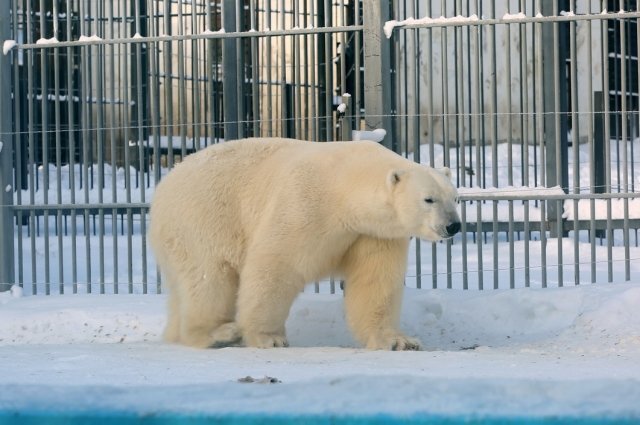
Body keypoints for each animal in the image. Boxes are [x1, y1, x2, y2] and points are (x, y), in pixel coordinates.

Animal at [150, 137, 460, 350]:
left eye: (454, 197)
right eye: (429, 199)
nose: (453, 225)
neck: (344, 185)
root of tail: (165, 184)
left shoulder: (373, 233)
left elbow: (375, 282)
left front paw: (398, 340)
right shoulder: (305, 205)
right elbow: (275, 265)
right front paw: (269, 338)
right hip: (202, 221)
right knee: (209, 280)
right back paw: (218, 333)